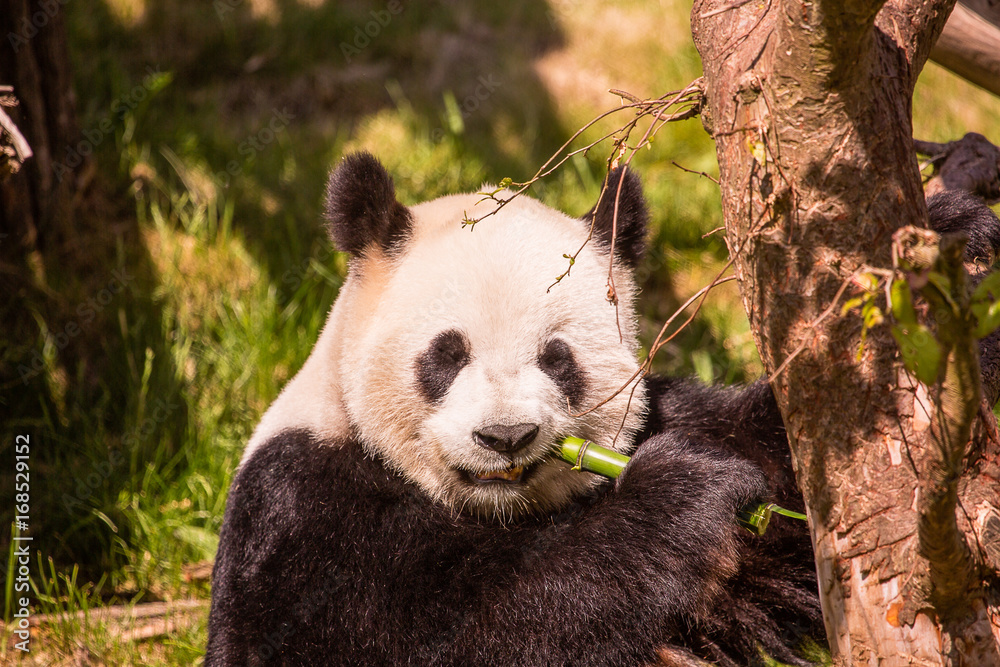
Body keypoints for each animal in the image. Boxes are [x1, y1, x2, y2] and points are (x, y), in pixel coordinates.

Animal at [206, 152, 1000, 667]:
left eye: (559, 358)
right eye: (447, 354)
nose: (506, 436)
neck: (497, 512)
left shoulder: (675, 420)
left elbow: (795, 516)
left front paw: (961, 245)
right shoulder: (302, 510)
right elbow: (460, 627)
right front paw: (683, 492)